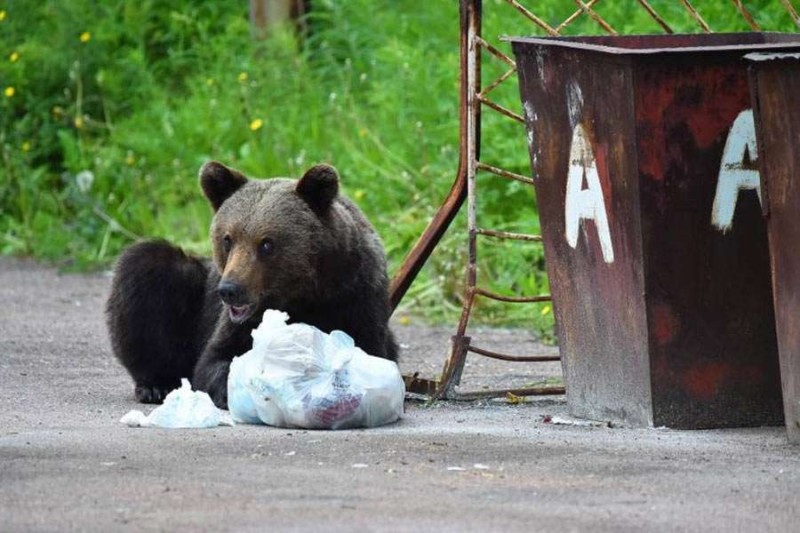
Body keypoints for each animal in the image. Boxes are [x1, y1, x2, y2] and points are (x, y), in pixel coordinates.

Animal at [104, 162, 398, 408]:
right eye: (227, 239)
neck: (304, 293)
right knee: (147, 268)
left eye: (266, 243)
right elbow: (215, 359)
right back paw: (156, 384)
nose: (229, 290)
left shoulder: (356, 296)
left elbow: (369, 352)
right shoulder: (235, 322)